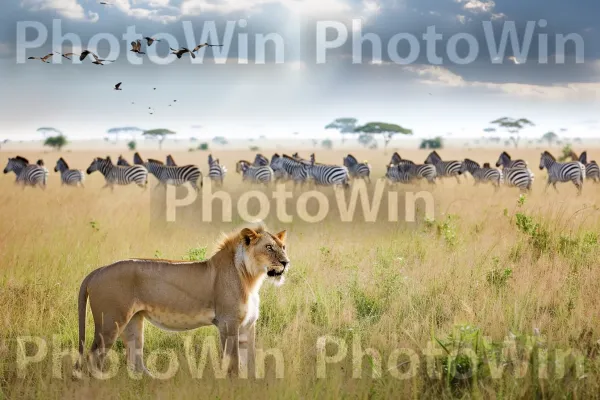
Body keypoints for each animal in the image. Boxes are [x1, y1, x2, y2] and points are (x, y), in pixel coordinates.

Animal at [76, 225, 290, 378]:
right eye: (269, 247)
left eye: (283, 247)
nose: (286, 262)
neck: (252, 279)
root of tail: (98, 270)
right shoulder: (228, 323)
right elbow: (234, 362)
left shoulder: (248, 326)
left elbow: (251, 361)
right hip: (110, 323)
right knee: (93, 357)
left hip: (133, 322)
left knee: (134, 361)